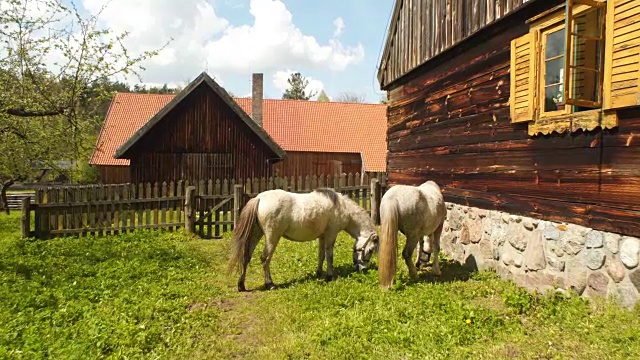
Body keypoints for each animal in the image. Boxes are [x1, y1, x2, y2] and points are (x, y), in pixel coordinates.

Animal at [228, 188, 378, 292]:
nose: (363, 269)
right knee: (265, 258)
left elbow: (321, 256)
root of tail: (259, 198)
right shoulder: (331, 235)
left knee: (246, 257)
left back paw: (241, 285)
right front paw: (329, 276)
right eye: (370, 250)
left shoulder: (322, 237)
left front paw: (319, 273)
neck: (342, 207)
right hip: (272, 237)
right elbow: (330, 256)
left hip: (256, 234)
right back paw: (270, 284)